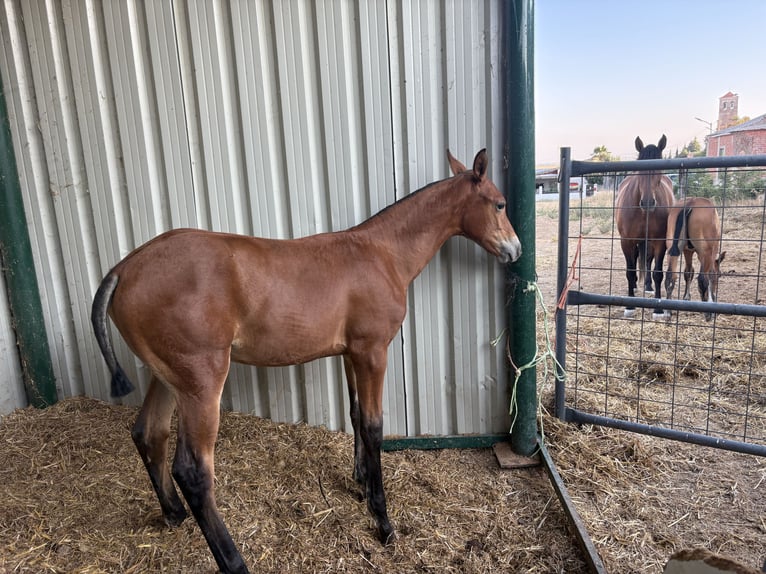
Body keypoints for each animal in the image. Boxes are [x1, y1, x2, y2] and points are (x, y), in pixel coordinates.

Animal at [91, 149, 521, 574]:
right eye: (500, 203)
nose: (515, 249)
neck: (381, 253)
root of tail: (123, 269)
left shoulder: (351, 353)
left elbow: (355, 415)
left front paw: (360, 482)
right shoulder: (373, 351)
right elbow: (373, 426)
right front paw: (382, 521)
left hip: (167, 377)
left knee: (148, 433)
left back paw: (173, 513)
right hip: (201, 380)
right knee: (193, 471)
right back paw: (234, 561)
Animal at [615, 135, 674, 318]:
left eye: (660, 171)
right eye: (639, 171)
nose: (648, 202)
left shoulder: (660, 242)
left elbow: (658, 273)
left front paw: (658, 309)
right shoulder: (626, 241)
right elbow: (630, 270)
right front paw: (629, 306)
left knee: (648, 260)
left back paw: (648, 286)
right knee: (636, 260)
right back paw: (634, 287)